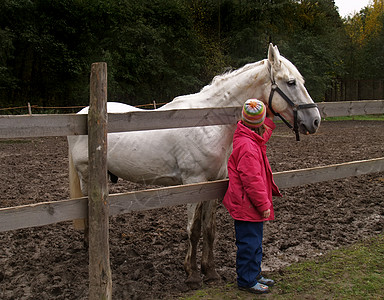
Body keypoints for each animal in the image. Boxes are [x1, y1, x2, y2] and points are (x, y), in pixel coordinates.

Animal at [68, 44, 320, 286]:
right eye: (291, 82)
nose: (315, 120)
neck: (207, 123)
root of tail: (82, 114)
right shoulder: (193, 183)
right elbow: (194, 230)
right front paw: (192, 275)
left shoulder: (213, 184)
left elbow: (209, 230)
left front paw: (210, 272)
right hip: (86, 176)